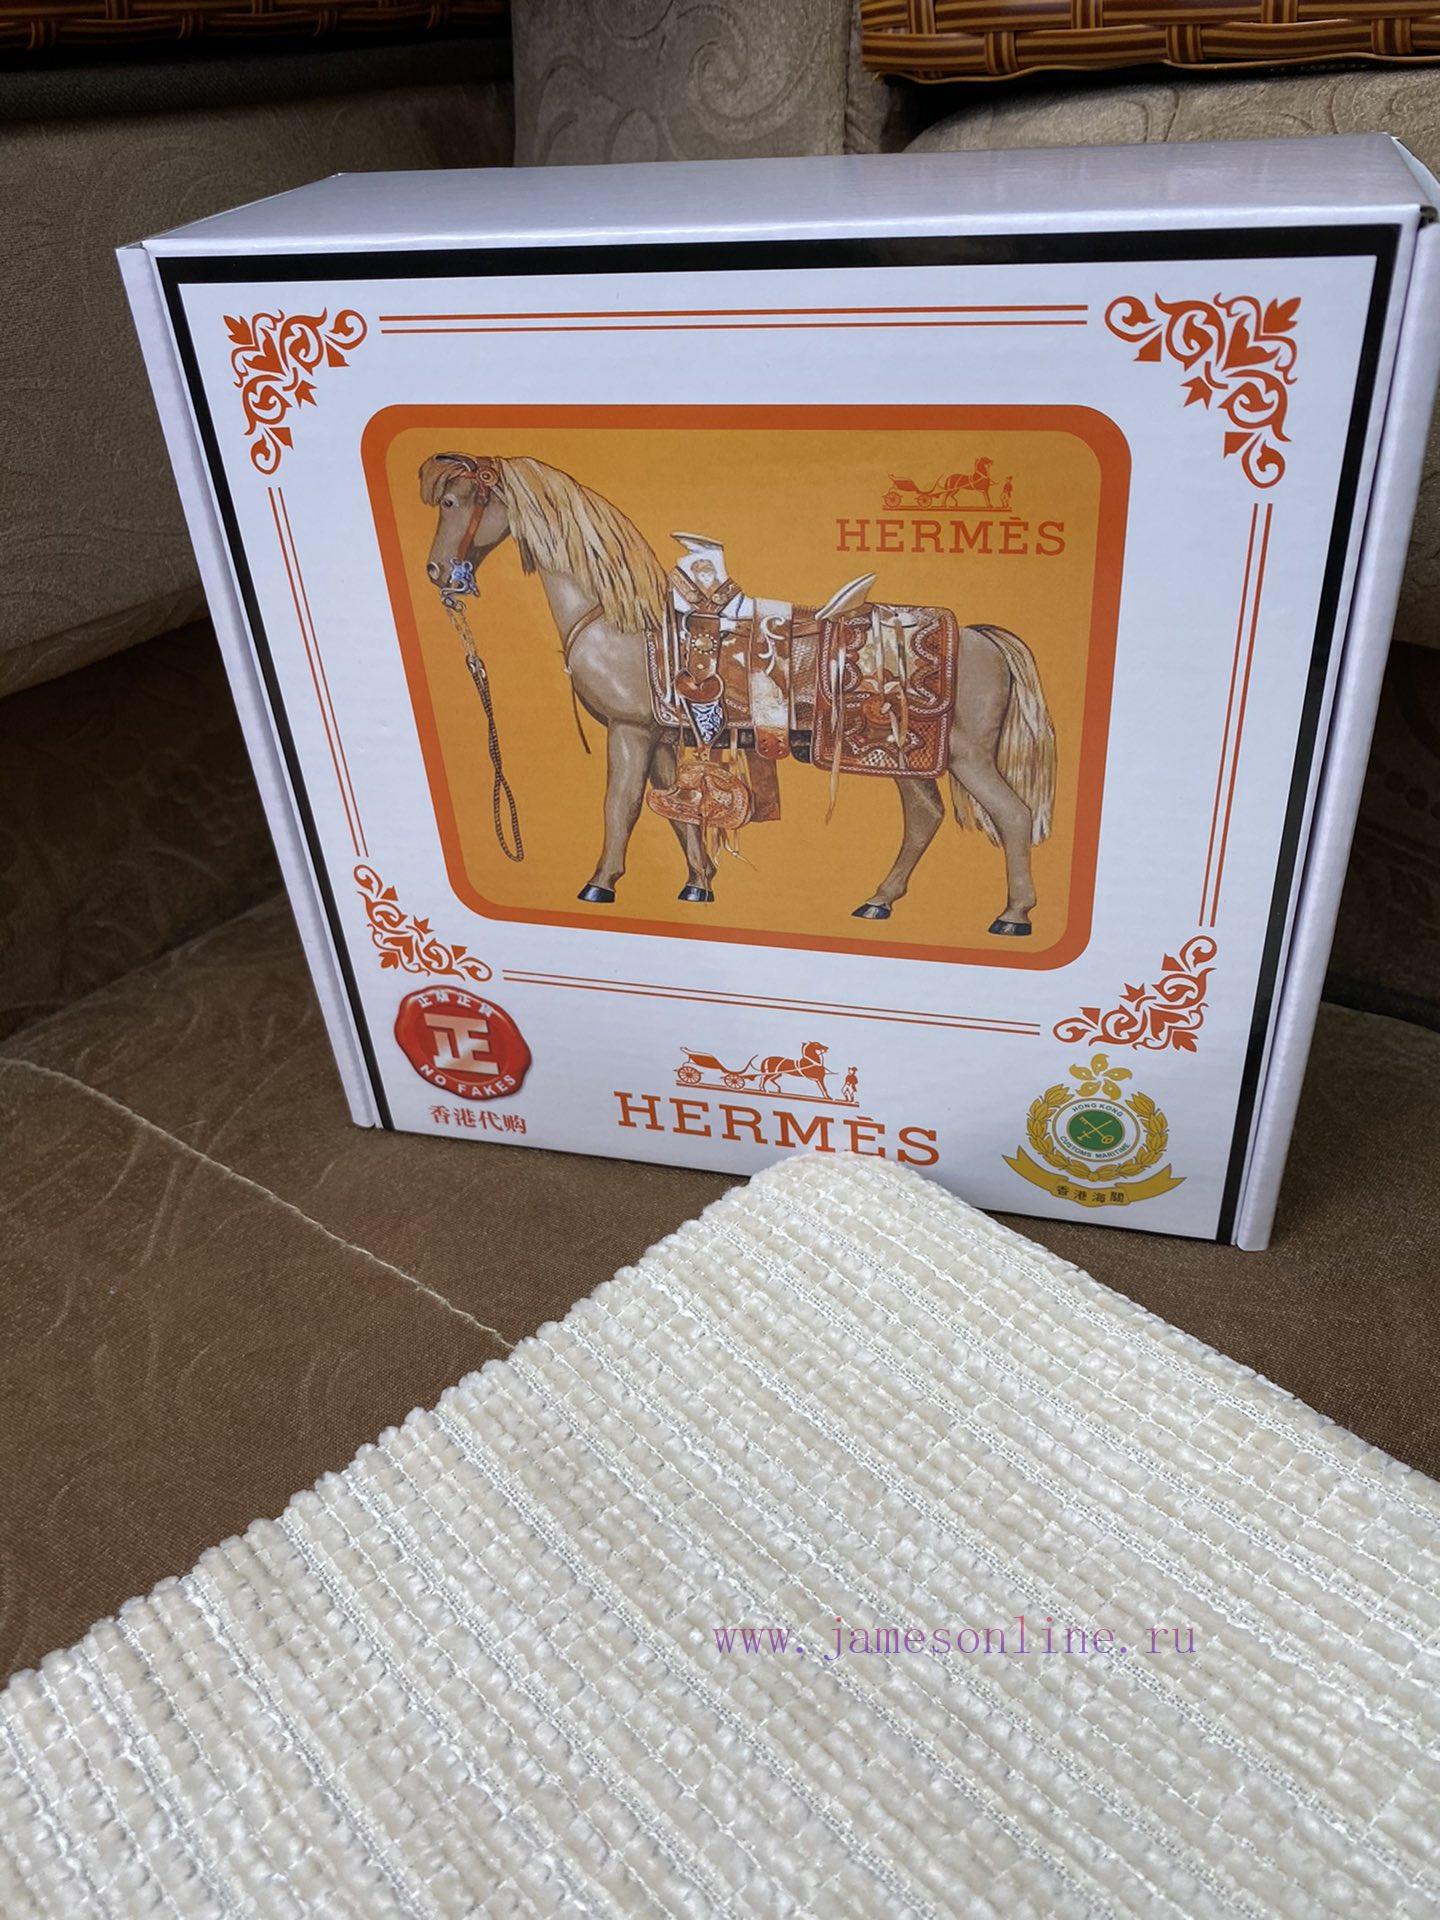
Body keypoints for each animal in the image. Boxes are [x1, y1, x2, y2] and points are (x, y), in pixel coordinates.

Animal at [420, 452, 1055, 934]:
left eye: (455, 504)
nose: (437, 573)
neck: (619, 618)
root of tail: (981, 637)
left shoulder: (631, 732)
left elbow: (620, 807)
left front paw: (600, 884)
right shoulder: (662, 736)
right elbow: (676, 812)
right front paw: (698, 884)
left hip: (964, 756)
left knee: (1013, 816)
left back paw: (1014, 915)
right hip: (906, 759)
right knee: (925, 817)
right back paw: (878, 901)